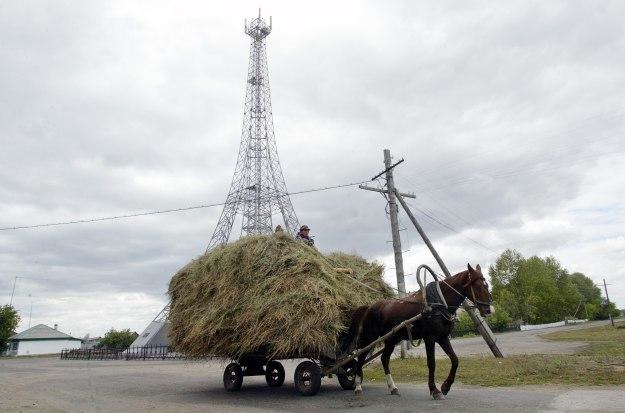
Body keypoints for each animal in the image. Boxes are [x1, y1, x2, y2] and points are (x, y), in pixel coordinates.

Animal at [342, 262, 492, 398]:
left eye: (486, 285)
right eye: (478, 286)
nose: (488, 310)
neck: (437, 303)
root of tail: (369, 307)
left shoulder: (443, 337)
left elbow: (455, 360)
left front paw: (446, 386)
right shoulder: (429, 338)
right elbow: (431, 364)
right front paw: (434, 390)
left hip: (391, 339)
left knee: (384, 359)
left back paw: (392, 387)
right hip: (369, 338)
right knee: (360, 358)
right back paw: (358, 386)